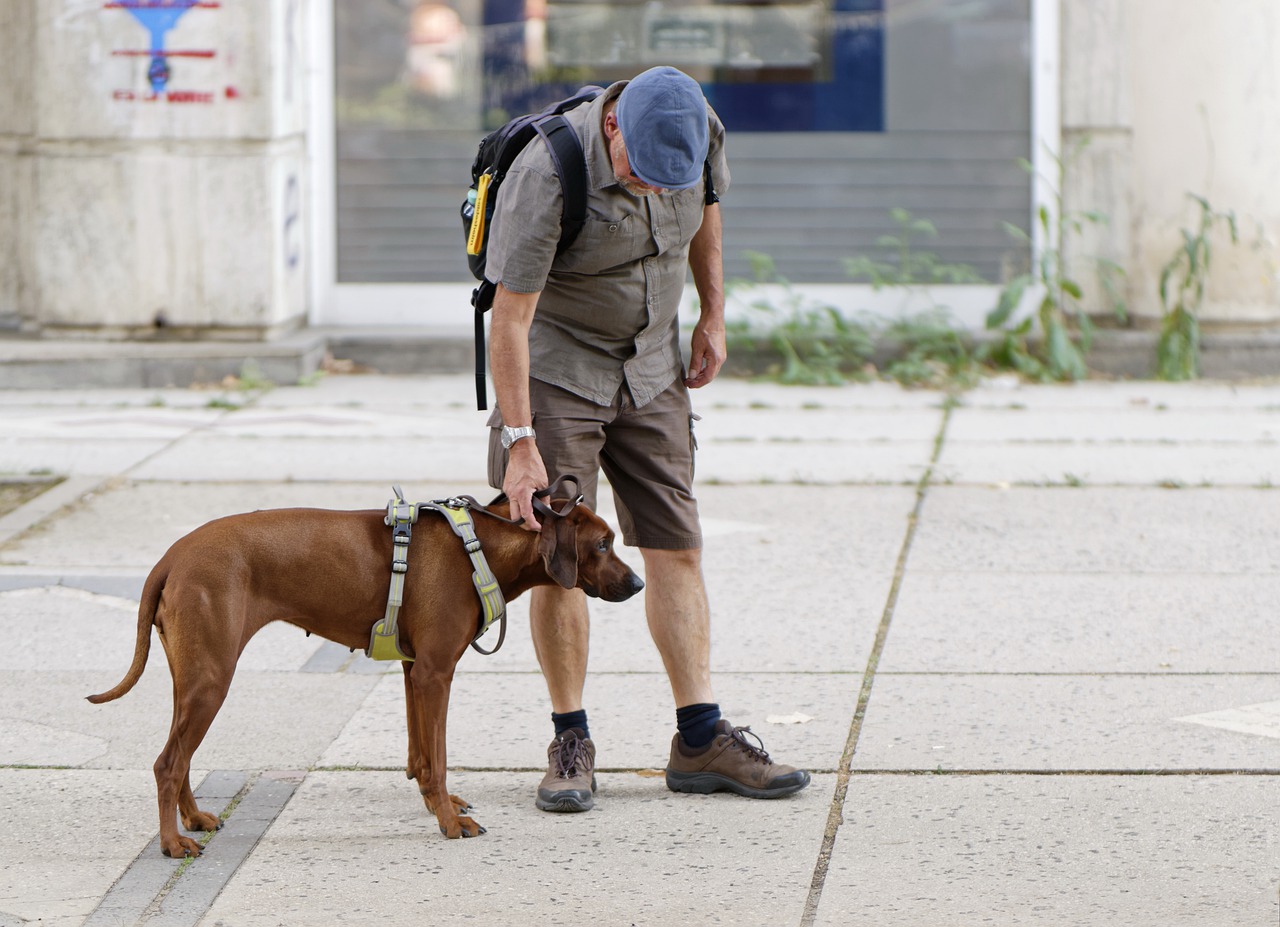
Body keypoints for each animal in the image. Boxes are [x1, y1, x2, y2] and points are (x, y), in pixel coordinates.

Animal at [85, 496, 640, 860]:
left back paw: (194, 818)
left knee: (179, 755)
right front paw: (448, 822)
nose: (636, 583)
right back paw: (171, 842)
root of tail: (171, 557)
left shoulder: (415, 669)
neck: (480, 545)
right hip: (211, 677)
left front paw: (437, 804)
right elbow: (438, 758)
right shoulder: (436, 672)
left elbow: (422, 755)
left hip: (195, 676)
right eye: (603, 544)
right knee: (168, 762)